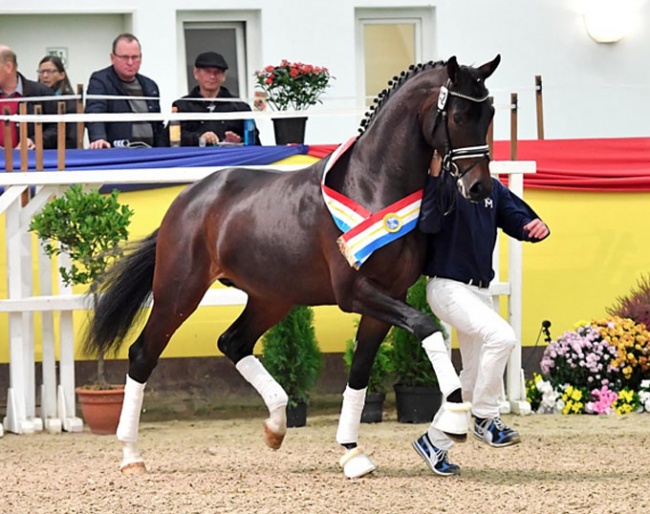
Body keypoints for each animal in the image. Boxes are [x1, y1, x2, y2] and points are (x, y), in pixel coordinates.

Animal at [85, 54, 502, 474]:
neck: (372, 186)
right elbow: (426, 327)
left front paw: (352, 452)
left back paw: (276, 425)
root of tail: (188, 199)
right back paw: (131, 455)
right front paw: (454, 419)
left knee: (233, 342)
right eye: (460, 116)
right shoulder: (356, 293)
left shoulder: (388, 297)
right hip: (179, 293)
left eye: (490, 113)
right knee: (144, 354)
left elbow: (360, 372)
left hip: (271, 298)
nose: (479, 188)